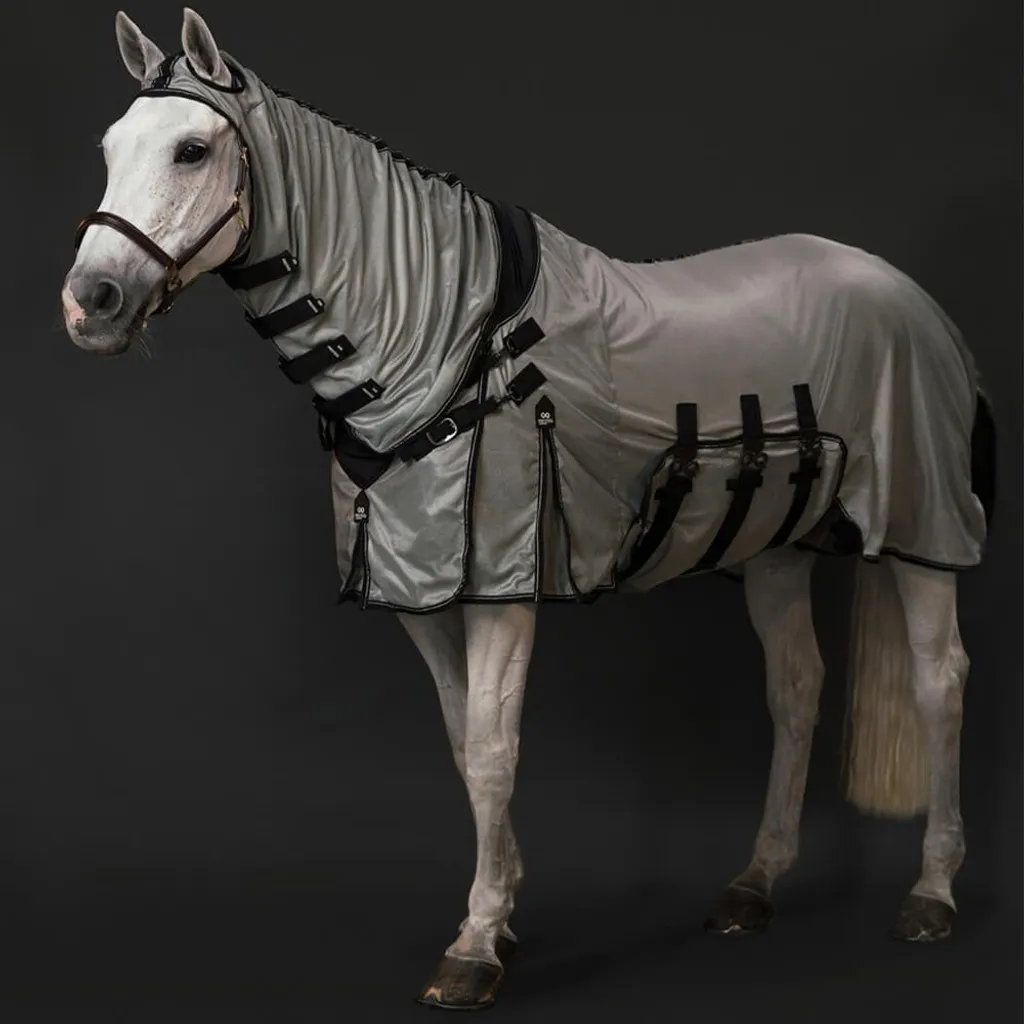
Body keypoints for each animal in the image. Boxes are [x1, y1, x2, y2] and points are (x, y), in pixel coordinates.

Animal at [60, 8, 996, 1011]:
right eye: (109, 149)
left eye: (192, 149)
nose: (90, 303)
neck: (448, 338)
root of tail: (907, 293)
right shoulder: (420, 585)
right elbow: (464, 747)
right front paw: (502, 912)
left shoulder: (503, 584)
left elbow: (495, 749)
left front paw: (473, 946)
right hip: (774, 548)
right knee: (796, 687)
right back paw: (755, 885)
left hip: (923, 528)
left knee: (940, 683)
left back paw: (932, 893)